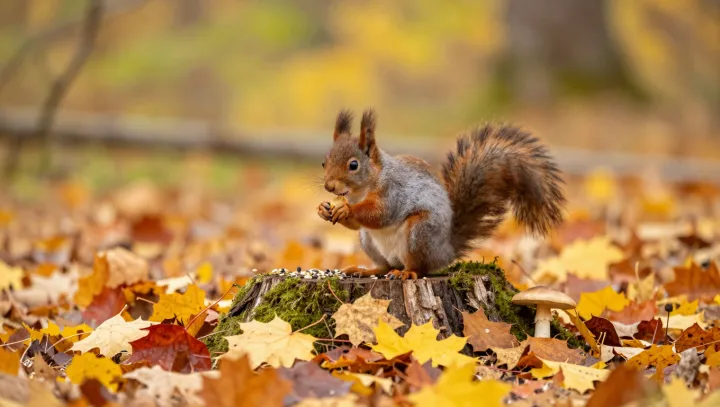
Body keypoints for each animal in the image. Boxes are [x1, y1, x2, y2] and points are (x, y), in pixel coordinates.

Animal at [317, 109, 566, 280]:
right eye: (323, 162)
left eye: (353, 165)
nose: (329, 187)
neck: (362, 190)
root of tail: (446, 251)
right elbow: (357, 224)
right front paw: (324, 209)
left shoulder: (393, 192)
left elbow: (379, 214)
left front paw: (345, 208)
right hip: (368, 240)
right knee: (385, 266)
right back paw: (366, 271)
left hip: (420, 231)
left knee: (418, 267)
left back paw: (407, 273)